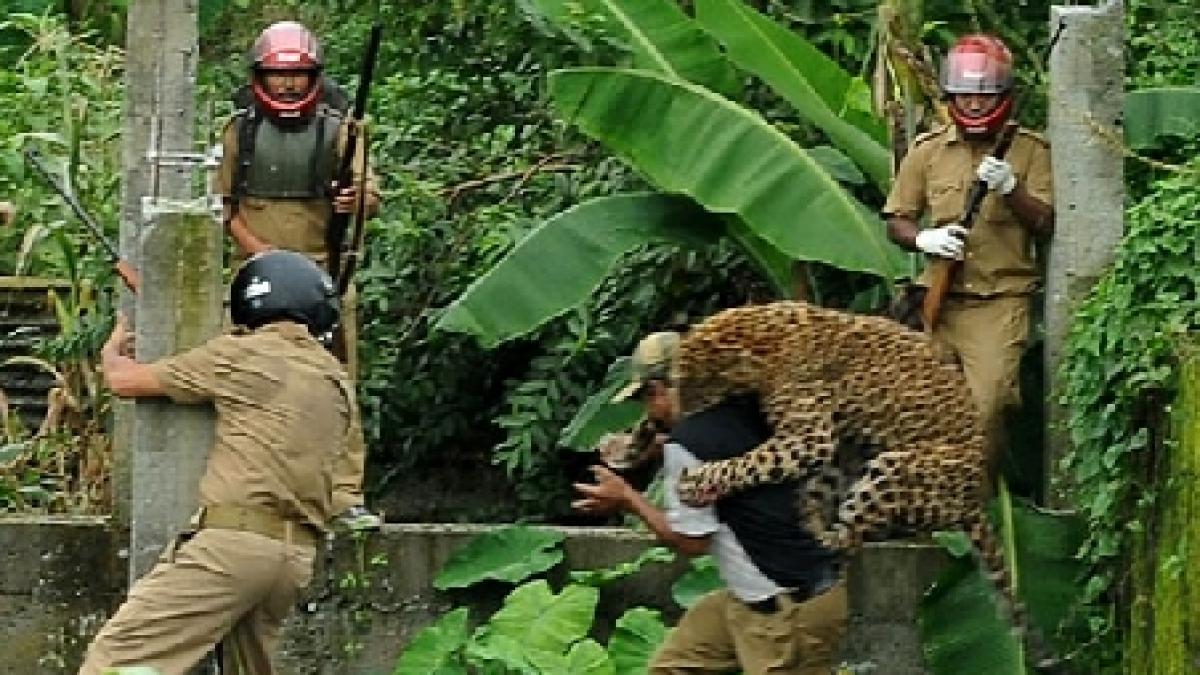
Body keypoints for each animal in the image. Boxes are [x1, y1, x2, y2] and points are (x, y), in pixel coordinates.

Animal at [669, 301, 1059, 669]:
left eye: (694, 386)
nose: (679, 414)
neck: (764, 335)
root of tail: (974, 501)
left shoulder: (810, 438)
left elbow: (752, 462)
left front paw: (695, 482)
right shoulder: (823, 441)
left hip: (895, 466)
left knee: (850, 537)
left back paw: (820, 538)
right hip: (854, 452)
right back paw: (810, 519)